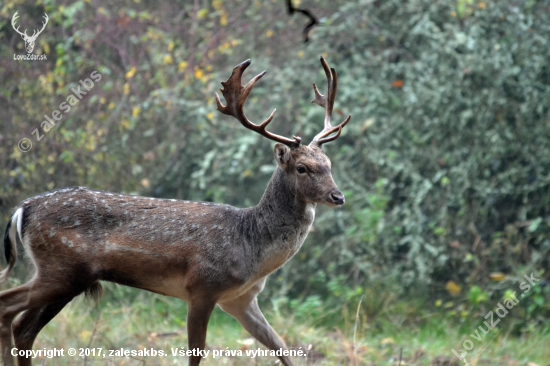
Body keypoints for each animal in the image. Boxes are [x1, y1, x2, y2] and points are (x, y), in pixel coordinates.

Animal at [0, 57, 352, 366]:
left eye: (329, 164)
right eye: (303, 168)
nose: (338, 196)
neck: (252, 248)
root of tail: (23, 209)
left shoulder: (241, 300)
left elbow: (282, 349)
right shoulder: (202, 287)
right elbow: (196, 352)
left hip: (69, 278)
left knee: (23, 328)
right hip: (60, 269)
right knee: (7, 309)